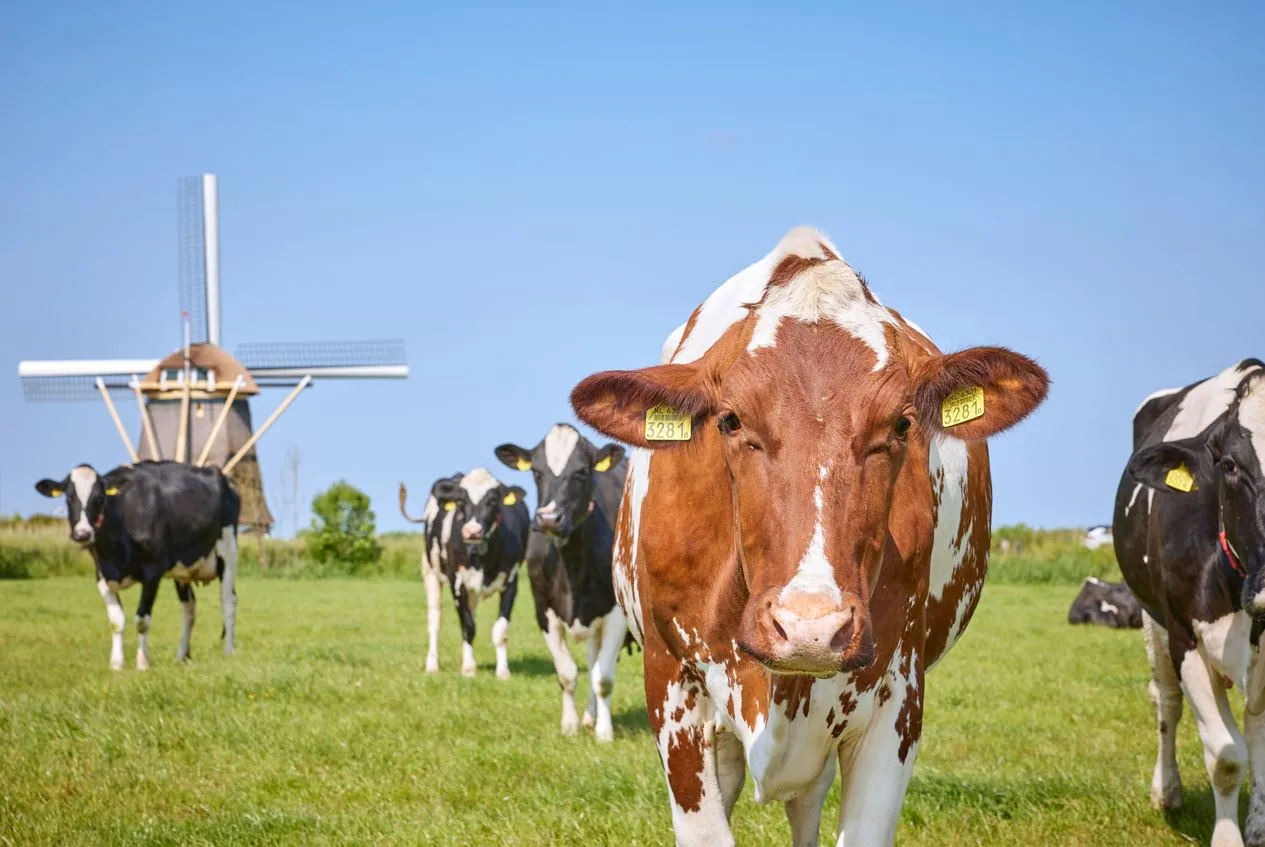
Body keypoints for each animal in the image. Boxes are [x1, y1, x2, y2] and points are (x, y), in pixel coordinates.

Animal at [35, 460, 240, 670]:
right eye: (69, 497)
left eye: (99, 497)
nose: (83, 534)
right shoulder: (101, 575)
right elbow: (116, 621)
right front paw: (116, 664)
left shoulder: (152, 572)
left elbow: (142, 620)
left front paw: (142, 663)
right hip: (183, 569)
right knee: (188, 609)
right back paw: (182, 656)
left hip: (228, 549)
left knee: (228, 601)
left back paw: (228, 651)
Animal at [401, 468, 529, 678]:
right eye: (461, 502)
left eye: (493, 501)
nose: (472, 531)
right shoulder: (457, 582)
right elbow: (468, 627)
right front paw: (469, 669)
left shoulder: (511, 581)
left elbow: (500, 630)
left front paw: (502, 671)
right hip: (429, 571)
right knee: (435, 620)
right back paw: (432, 664)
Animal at [494, 423, 630, 742]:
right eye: (536, 471)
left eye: (581, 471)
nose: (548, 518)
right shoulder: (544, 611)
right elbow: (567, 673)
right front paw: (570, 724)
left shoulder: (617, 615)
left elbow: (604, 677)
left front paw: (605, 732)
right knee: (591, 660)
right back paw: (589, 716)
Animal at [1113, 359, 1265, 847]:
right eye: (1230, 465)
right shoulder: (1185, 636)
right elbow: (1226, 757)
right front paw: (1228, 838)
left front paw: (1255, 826)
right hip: (1151, 619)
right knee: (1166, 702)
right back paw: (1167, 792)